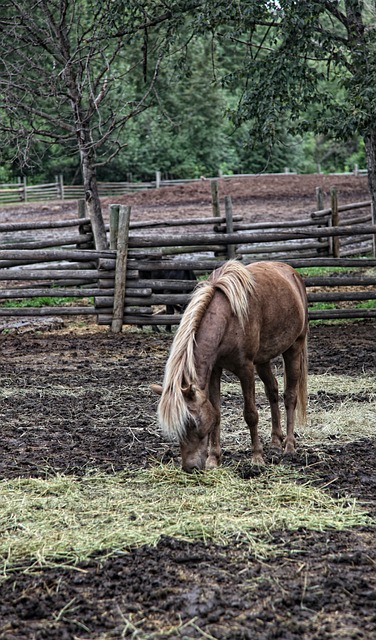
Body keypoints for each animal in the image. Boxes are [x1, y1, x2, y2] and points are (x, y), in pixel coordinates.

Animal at [151, 258, 308, 472]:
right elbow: (216, 413)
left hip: (294, 347)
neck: (228, 318)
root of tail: (292, 274)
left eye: (192, 423)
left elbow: (251, 414)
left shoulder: (245, 369)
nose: (190, 467)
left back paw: (289, 446)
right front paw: (213, 458)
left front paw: (257, 457)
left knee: (290, 396)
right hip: (263, 360)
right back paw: (276, 441)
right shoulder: (215, 371)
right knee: (272, 391)